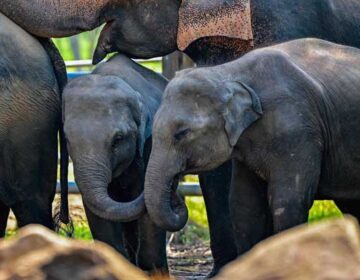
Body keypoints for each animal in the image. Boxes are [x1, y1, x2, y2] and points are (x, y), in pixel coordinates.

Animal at [143, 37, 360, 256]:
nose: (177, 197)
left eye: (181, 133)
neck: (228, 73)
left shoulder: (297, 130)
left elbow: (288, 202)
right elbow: (244, 205)